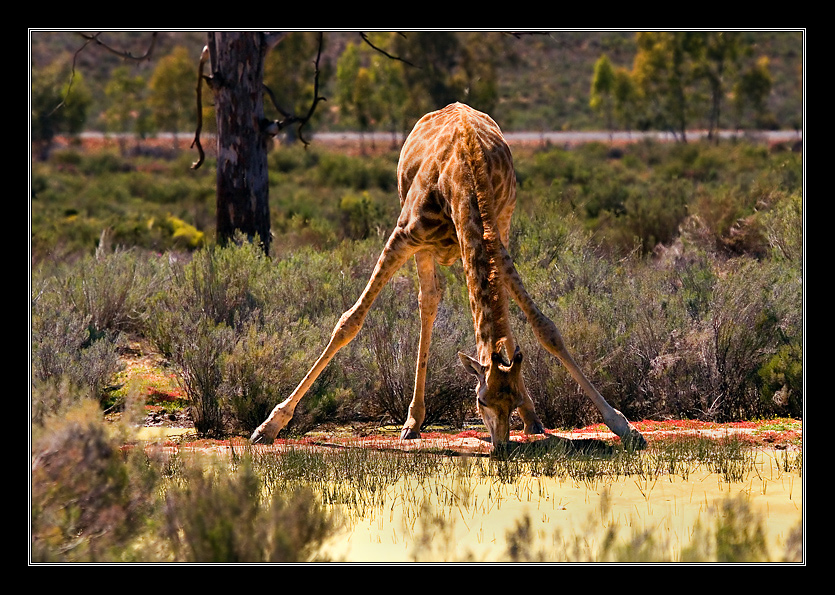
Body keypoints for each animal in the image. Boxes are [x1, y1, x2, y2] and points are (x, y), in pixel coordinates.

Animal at [250, 101, 648, 452]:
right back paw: (412, 421)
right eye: (482, 401)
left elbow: (546, 328)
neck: (461, 178)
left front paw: (624, 427)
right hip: (421, 245)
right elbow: (348, 322)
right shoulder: (402, 235)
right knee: (428, 301)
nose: (502, 447)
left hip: (503, 223)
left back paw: (529, 420)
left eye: (512, 398)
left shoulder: (494, 240)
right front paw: (268, 426)